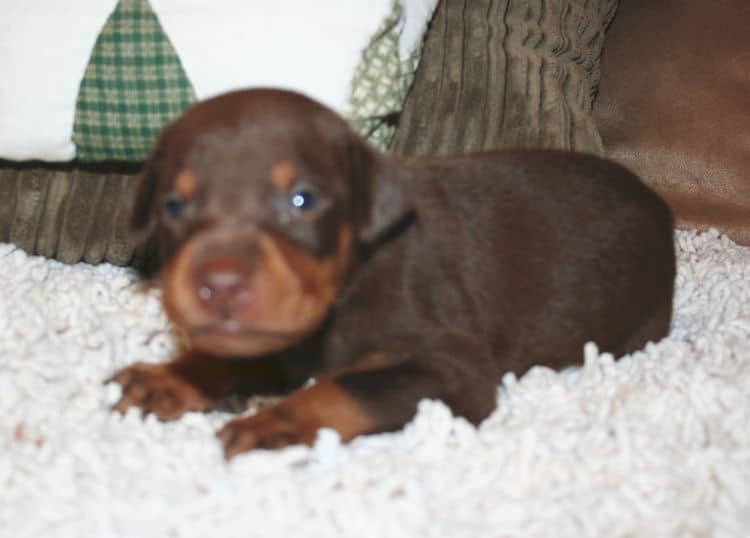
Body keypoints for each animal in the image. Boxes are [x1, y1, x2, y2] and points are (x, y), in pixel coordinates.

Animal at [108, 88, 680, 456]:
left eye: (302, 200)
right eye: (174, 205)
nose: (219, 285)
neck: (352, 275)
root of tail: (658, 203)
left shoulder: (454, 364)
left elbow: (345, 387)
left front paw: (278, 418)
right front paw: (175, 374)